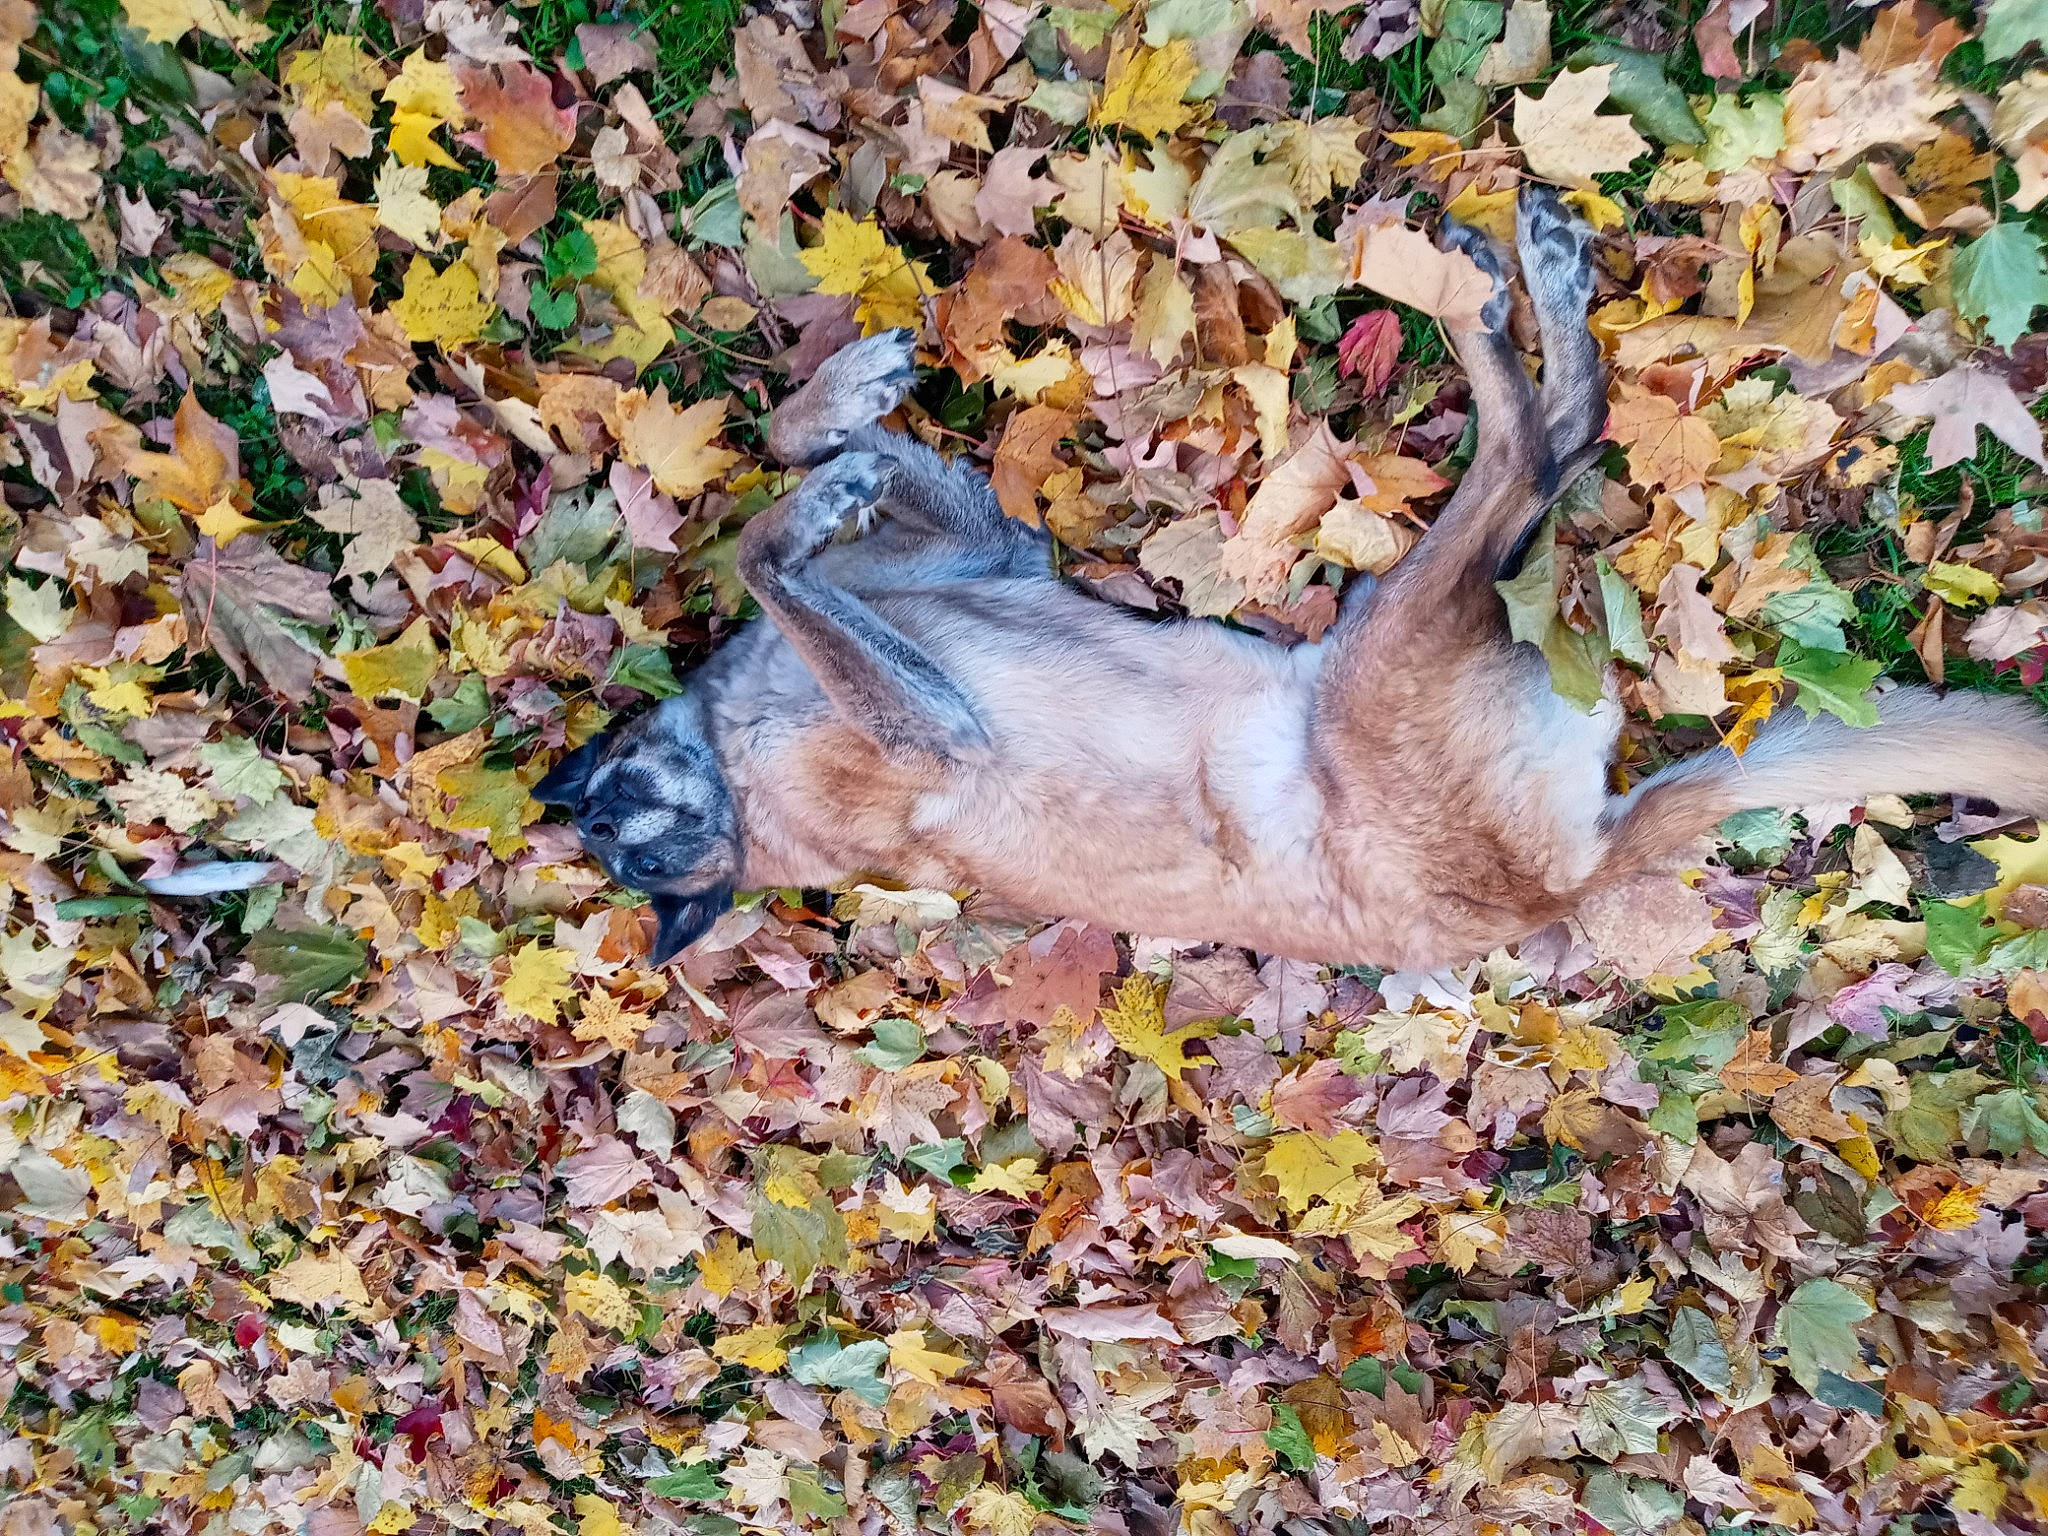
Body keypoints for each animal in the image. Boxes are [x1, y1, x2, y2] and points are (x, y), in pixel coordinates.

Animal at [536, 187, 2048, 965]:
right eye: (632, 853)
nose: (618, 815)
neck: (739, 768)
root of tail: (1562, 882)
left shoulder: (990, 549)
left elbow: (792, 462)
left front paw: (838, 410)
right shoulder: (926, 724)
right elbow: (764, 550)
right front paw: (807, 500)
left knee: (1554, 431)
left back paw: (1509, 270)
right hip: (1389, 643)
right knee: (1540, 441)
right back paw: (1497, 288)